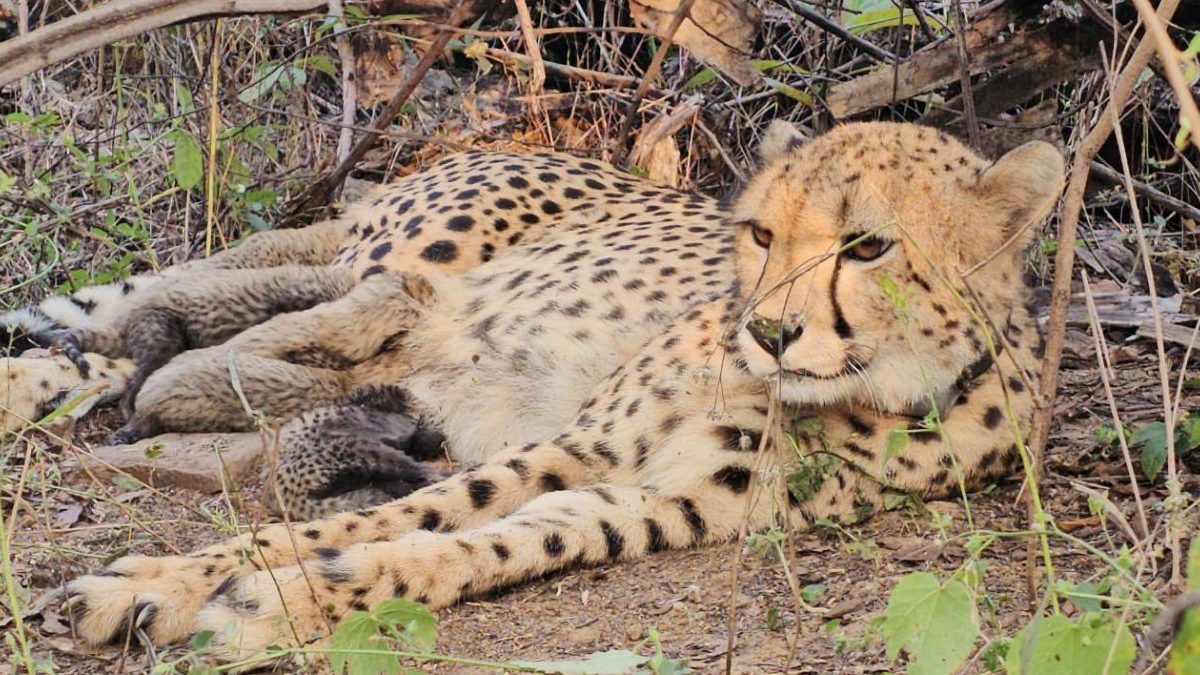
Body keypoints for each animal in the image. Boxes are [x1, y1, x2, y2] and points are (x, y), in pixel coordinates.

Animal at [55, 120, 1064, 660]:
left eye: (869, 245)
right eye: (761, 233)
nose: (768, 331)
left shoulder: (662, 500)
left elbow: (485, 542)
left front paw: (284, 599)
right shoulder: (586, 441)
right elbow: (394, 514)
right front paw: (165, 578)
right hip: (406, 253)